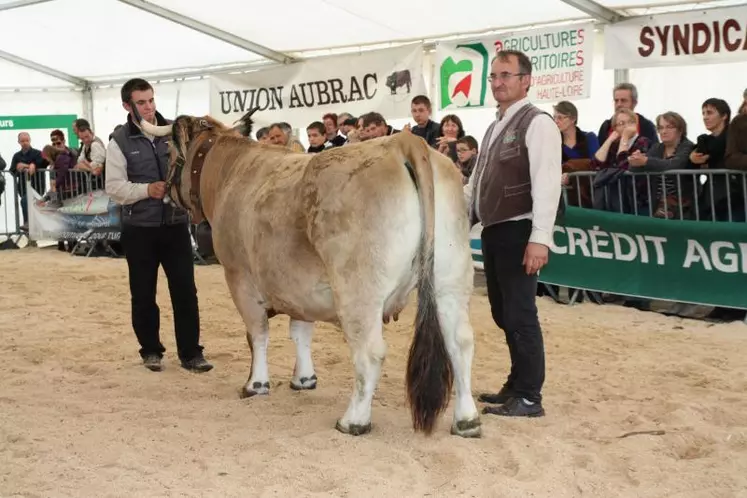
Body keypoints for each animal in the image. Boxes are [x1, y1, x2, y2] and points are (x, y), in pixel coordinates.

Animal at [137, 111, 482, 438]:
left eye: (168, 152)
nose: (163, 192)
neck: (230, 174)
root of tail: (403, 142)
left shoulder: (239, 278)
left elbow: (257, 334)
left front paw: (255, 384)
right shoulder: (298, 285)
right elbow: (300, 331)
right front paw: (303, 379)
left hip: (359, 290)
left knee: (370, 352)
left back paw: (353, 421)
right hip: (450, 280)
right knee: (461, 342)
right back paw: (467, 421)